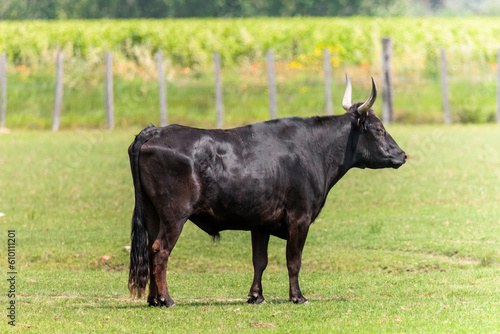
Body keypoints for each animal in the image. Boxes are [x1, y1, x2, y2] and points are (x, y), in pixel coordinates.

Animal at [128, 74, 406, 306]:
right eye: (379, 129)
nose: (402, 155)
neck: (314, 150)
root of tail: (155, 130)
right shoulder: (300, 219)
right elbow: (293, 260)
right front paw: (298, 297)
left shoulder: (260, 223)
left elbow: (259, 261)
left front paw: (256, 296)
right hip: (174, 215)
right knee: (160, 251)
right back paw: (167, 299)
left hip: (153, 214)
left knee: (150, 249)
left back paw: (153, 299)